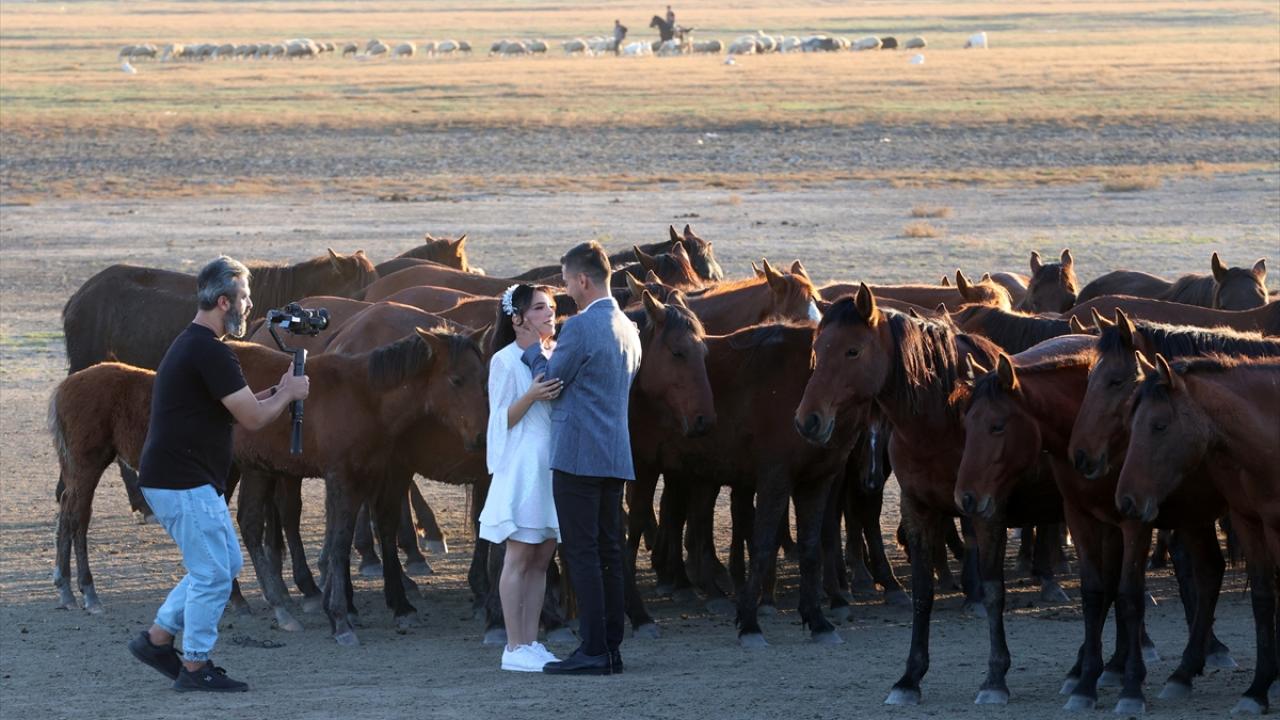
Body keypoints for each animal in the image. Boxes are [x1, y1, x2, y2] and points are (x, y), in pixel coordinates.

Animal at [1116, 355, 1280, 714]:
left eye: (1159, 425)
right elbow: (1263, 599)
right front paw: (1258, 690)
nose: (1126, 501)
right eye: (1130, 426)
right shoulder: (1250, 522)